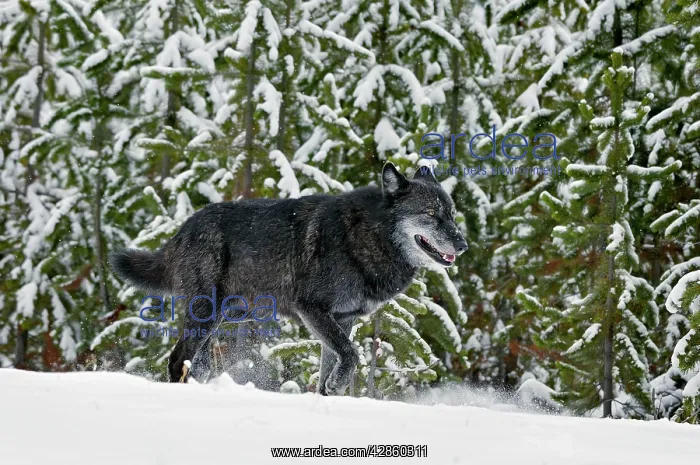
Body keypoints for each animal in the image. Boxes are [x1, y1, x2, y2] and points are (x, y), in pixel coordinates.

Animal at [110, 162, 467, 395]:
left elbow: (334, 362)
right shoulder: (311, 309)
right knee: (175, 361)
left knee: (196, 365)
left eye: (451, 214)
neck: (370, 234)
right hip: (204, 315)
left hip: (219, 320)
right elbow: (352, 354)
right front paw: (337, 385)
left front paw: (329, 394)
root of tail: (181, 229)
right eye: (431, 214)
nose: (463, 244)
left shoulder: (343, 318)